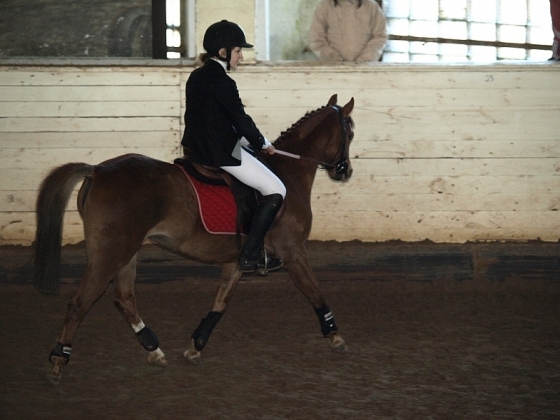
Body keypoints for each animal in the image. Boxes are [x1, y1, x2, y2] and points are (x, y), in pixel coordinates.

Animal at [34, 94, 354, 384]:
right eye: (349, 133)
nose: (345, 171)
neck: (288, 173)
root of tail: (98, 170)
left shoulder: (237, 260)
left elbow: (221, 302)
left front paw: (195, 346)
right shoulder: (293, 251)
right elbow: (315, 292)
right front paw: (335, 336)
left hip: (126, 252)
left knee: (124, 298)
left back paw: (154, 350)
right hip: (110, 254)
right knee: (79, 303)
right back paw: (59, 361)